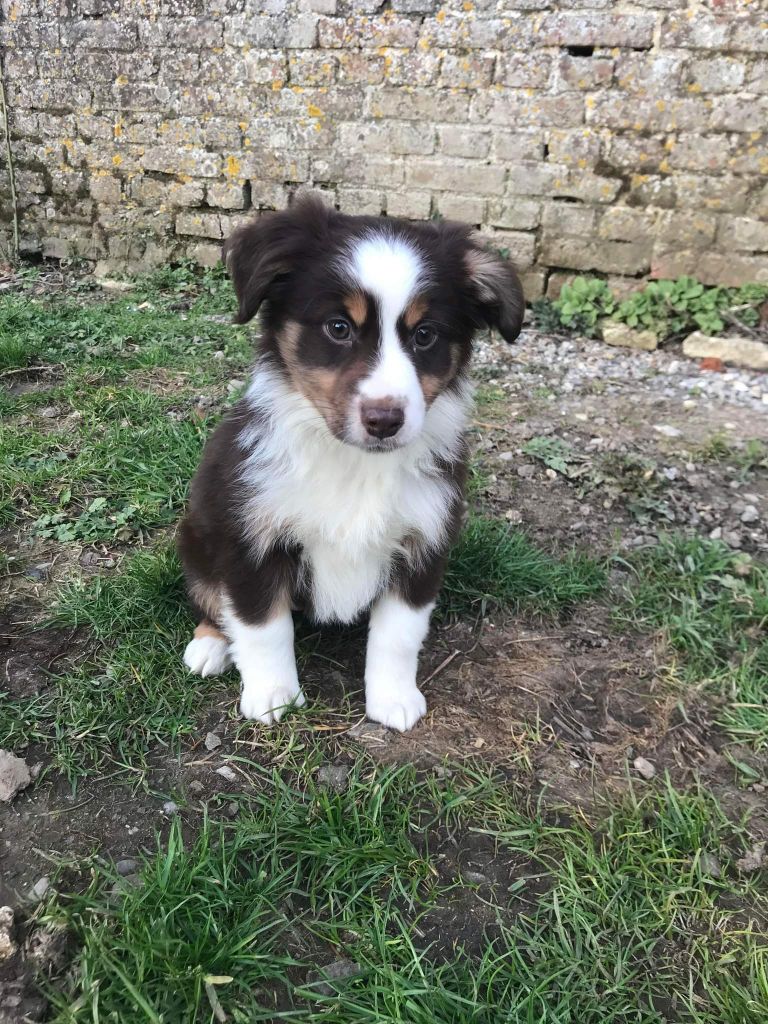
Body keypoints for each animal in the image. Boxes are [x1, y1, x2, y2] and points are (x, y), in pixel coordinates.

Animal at [180, 195, 524, 733]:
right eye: (338, 328)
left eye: (425, 335)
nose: (385, 419)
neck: (353, 464)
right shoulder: (251, 539)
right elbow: (262, 625)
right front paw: (273, 696)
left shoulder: (424, 542)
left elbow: (398, 634)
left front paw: (394, 699)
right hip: (197, 533)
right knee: (212, 598)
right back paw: (211, 646)